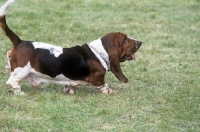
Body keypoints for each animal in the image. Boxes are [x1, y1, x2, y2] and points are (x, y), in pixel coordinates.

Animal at [0, 0, 141, 95]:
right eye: (125, 39)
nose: (140, 42)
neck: (99, 52)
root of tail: (20, 41)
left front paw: (69, 90)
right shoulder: (98, 79)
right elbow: (104, 85)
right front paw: (111, 91)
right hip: (22, 70)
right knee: (12, 82)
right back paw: (20, 93)